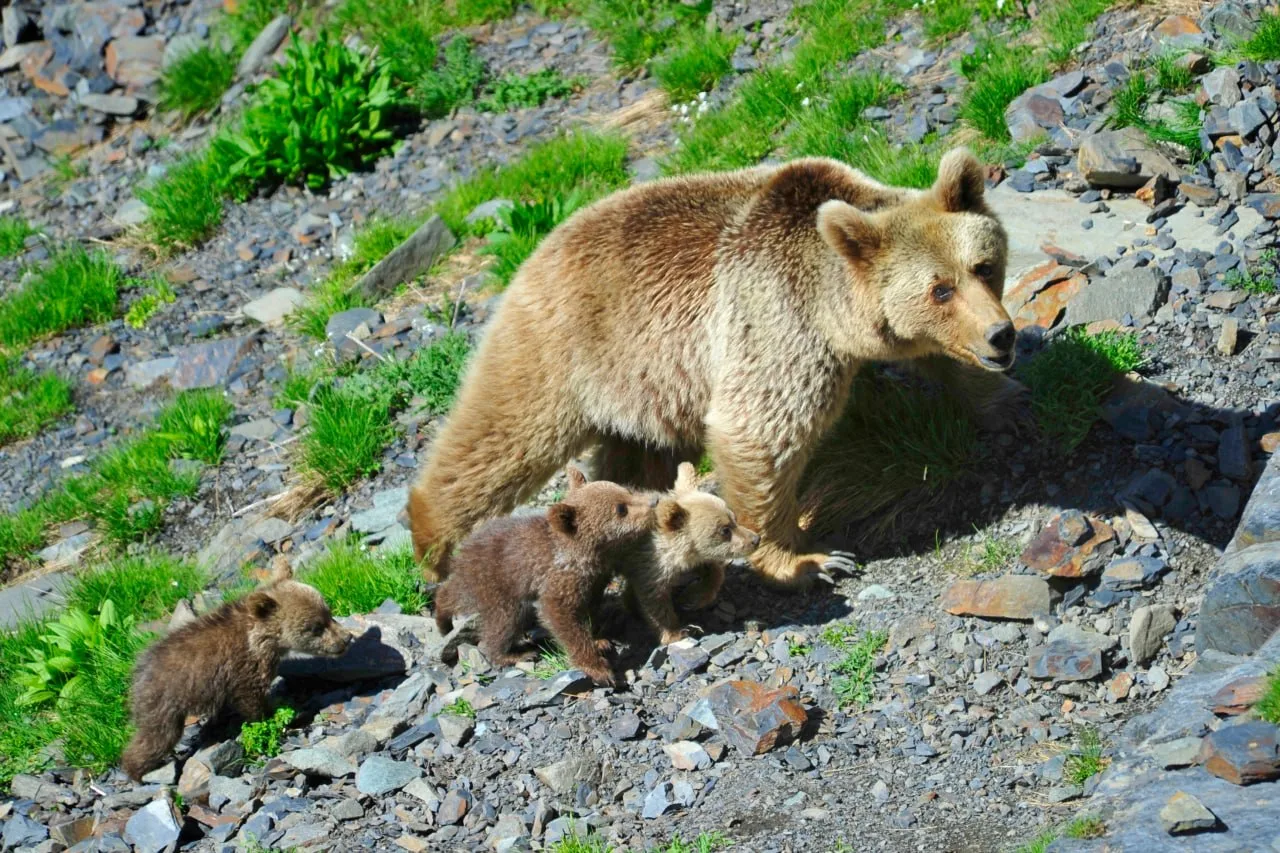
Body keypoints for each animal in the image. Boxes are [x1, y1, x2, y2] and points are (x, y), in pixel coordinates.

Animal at [121, 563, 352, 780]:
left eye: (328, 613)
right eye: (316, 627)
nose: (346, 638)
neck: (263, 639)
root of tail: (137, 675)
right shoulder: (245, 668)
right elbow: (251, 700)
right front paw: (274, 716)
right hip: (165, 704)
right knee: (157, 738)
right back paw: (137, 771)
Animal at [408, 148, 1019, 589]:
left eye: (982, 266)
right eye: (939, 289)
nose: (1002, 335)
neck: (835, 308)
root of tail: (534, 252)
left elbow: (950, 367)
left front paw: (1006, 406)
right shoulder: (776, 320)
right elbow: (760, 434)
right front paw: (809, 560)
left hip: (647, 385)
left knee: (635, 455)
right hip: (560, 352)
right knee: (500, 438)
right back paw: (433, 544)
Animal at [433, 465, 657, 686]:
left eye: (626, 491)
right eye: (621, 509)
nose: (653, 502)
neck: (590, 554)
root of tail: (462, 552)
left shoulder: (594, 579)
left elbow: (588, 609)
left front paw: (599, 641)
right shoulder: (558, 578)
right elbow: (559, 615)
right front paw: (598, 668)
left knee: (453, 594)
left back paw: (443, 618)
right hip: (497, 583)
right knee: (504, 620)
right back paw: (510, 654)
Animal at [613, 461, 760, 645]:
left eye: (734, 519)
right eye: (725, 530)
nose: (756, 539)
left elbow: (712, 570)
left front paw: (693, 598)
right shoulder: (648, 564)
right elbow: (654, 600)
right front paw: (675, 632)